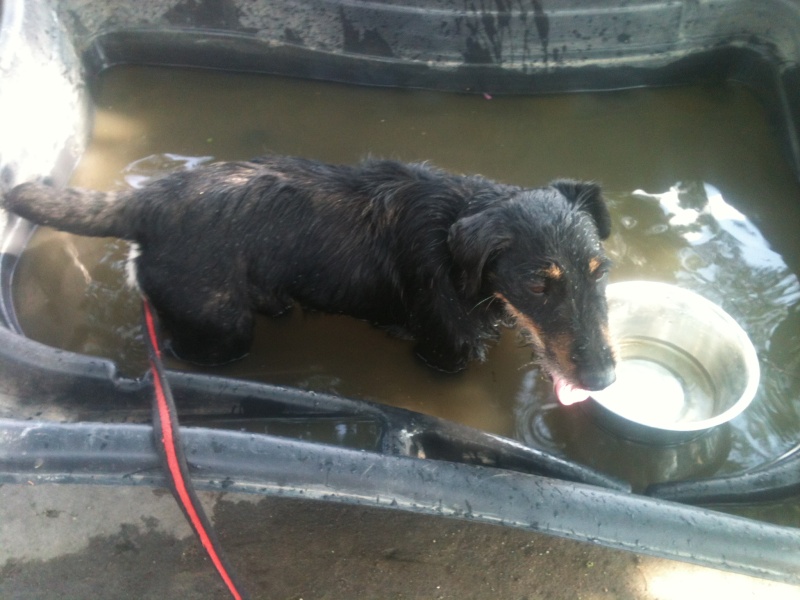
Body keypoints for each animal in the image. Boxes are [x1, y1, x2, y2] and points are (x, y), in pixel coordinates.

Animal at [3, 155, 616, 398]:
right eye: (537, 285)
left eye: (600, 271)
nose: (605, 379)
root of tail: (145, 203)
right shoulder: (441, 355)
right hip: (221, 328)